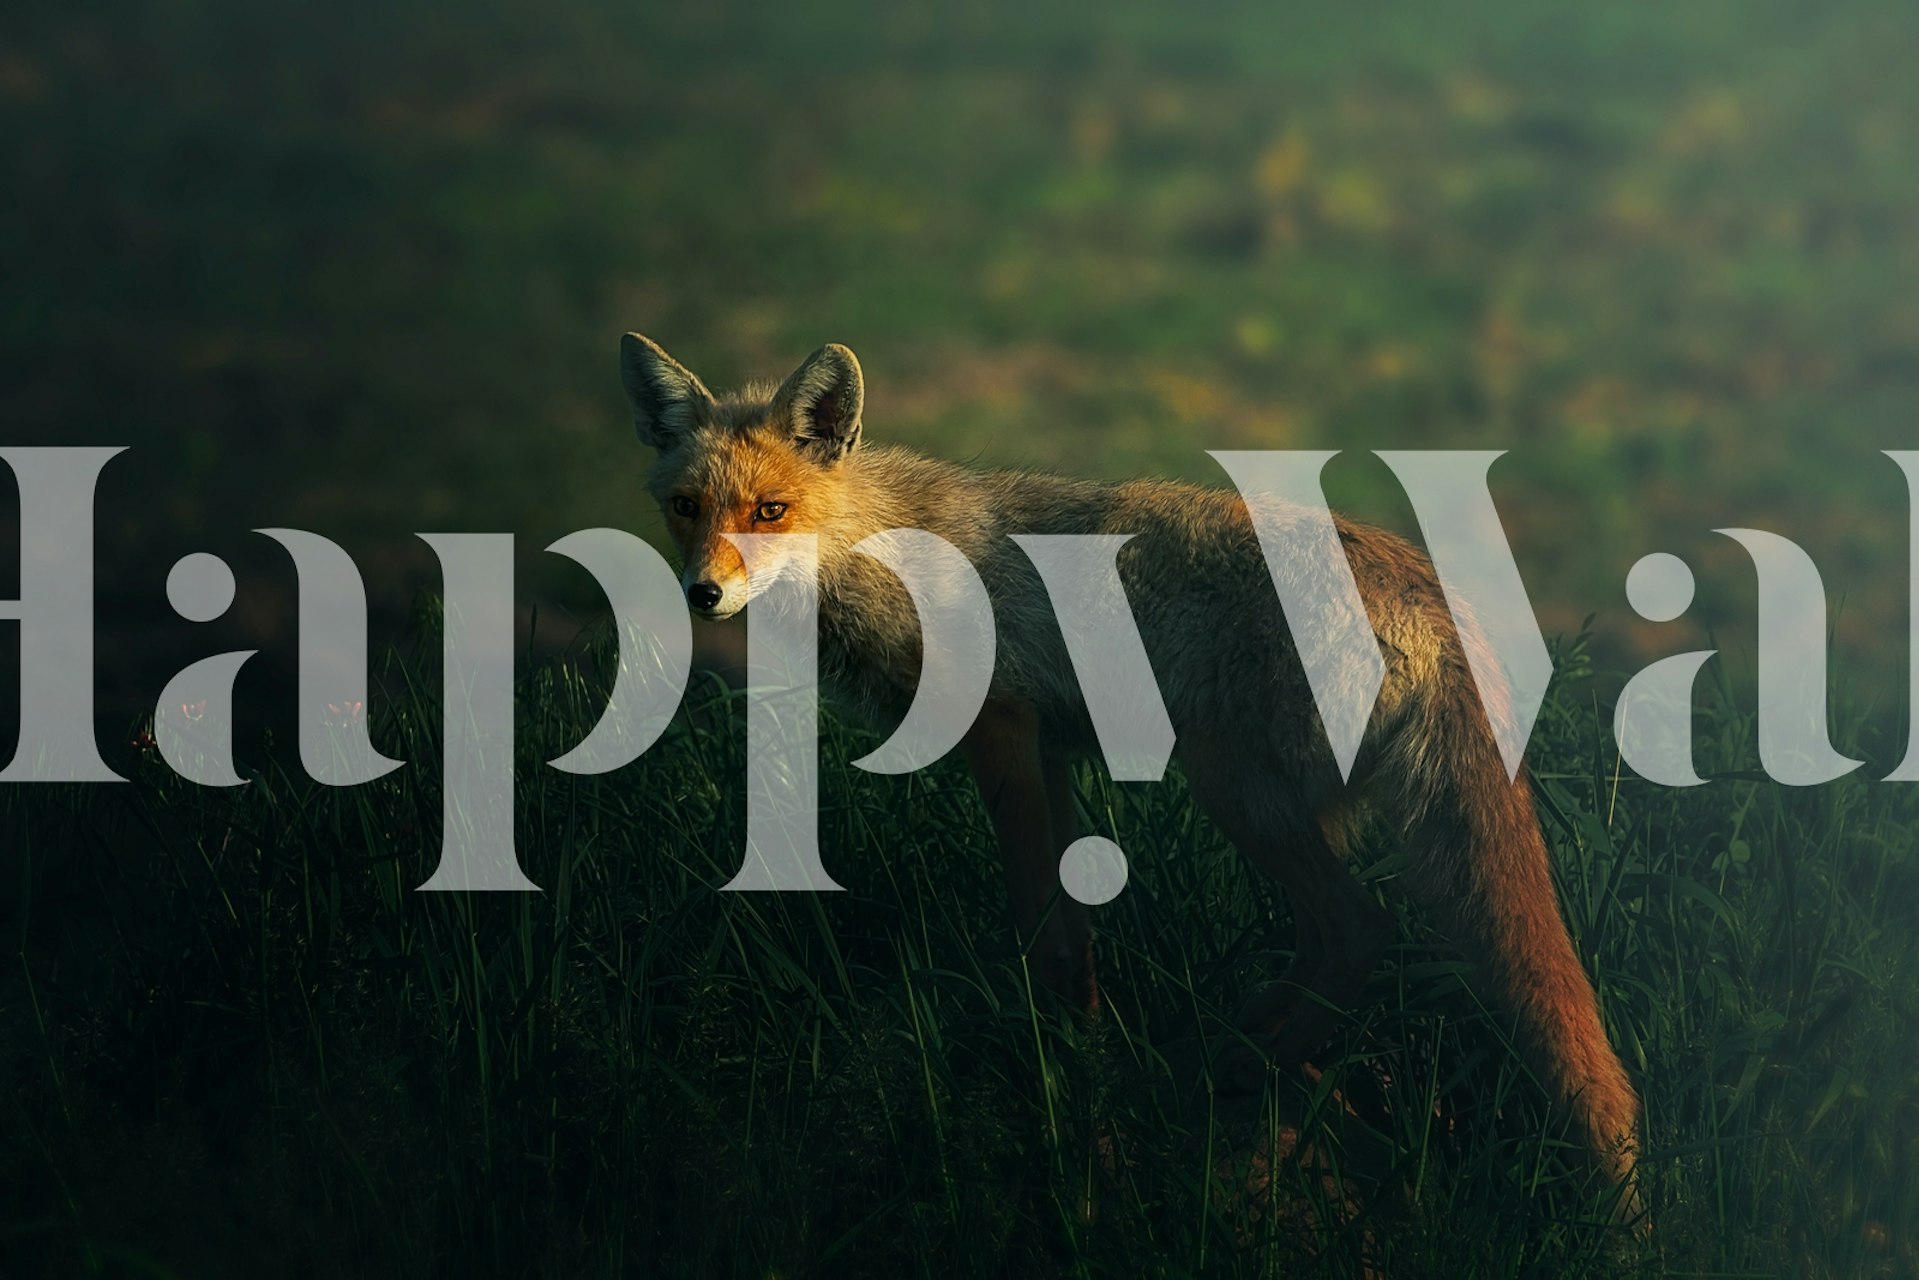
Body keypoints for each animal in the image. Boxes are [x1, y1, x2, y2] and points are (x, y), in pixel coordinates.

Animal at [619, 331, 1644, 1216]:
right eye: (686, 508)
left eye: (770, 512)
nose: (703, 594)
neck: (882, 552)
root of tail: (1431, 593)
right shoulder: (1050, 752)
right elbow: (1075, 939)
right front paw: (1087, 1050)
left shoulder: (1001, 731)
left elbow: (1044, 934)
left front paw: (1066, 1092)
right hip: (1281, 805)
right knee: (1331, 943)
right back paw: (1240, 1051)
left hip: (1230, 786)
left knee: (1358, 928)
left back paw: (1228, 1066)